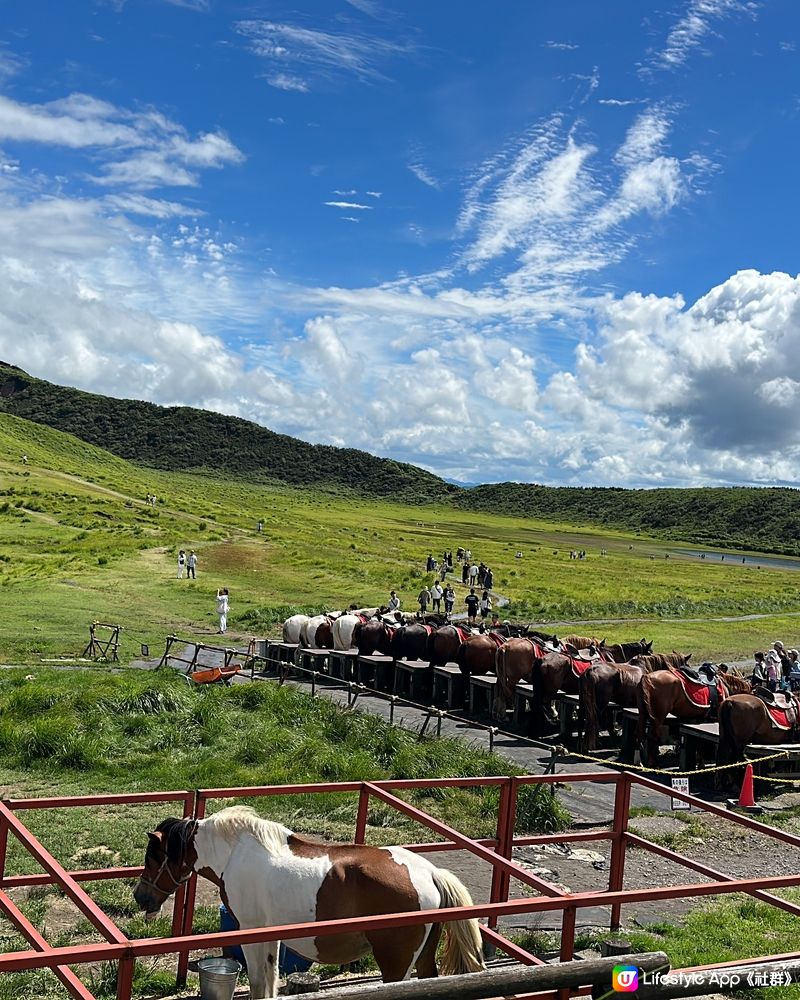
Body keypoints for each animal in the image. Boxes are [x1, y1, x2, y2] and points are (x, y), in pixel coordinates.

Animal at [134, 808, 484, 1000]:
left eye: (153, 858)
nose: (140, 897)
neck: (235, 854)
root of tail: (430, 873)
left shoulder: (248, 932)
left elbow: (259, 982)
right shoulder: (270, 934)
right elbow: (269, 981)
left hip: (395, 965)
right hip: (423, 959)